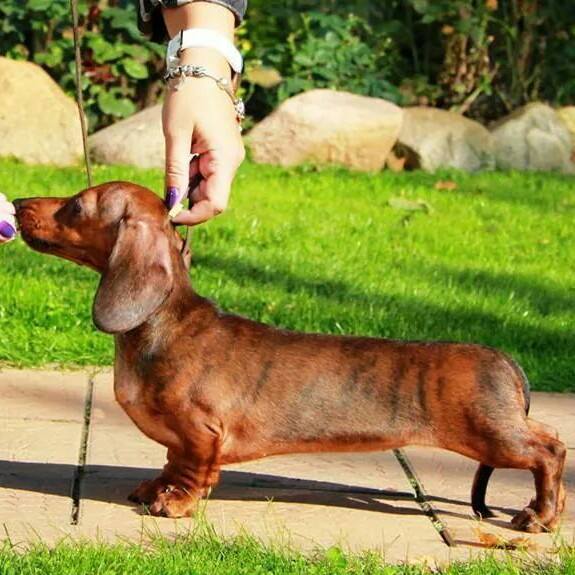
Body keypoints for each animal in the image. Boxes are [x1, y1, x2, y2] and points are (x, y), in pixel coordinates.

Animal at [14, 182, 566, 532]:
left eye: (76, 206)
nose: (17, 201)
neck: (161, 323)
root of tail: (504, 360)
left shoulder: (201, 433)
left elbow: (192, 471)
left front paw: (176, 504)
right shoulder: (180, 439)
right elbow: (171, 462)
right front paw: (157, 488)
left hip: (489, 434)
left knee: (550, 451)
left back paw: (539, 516)